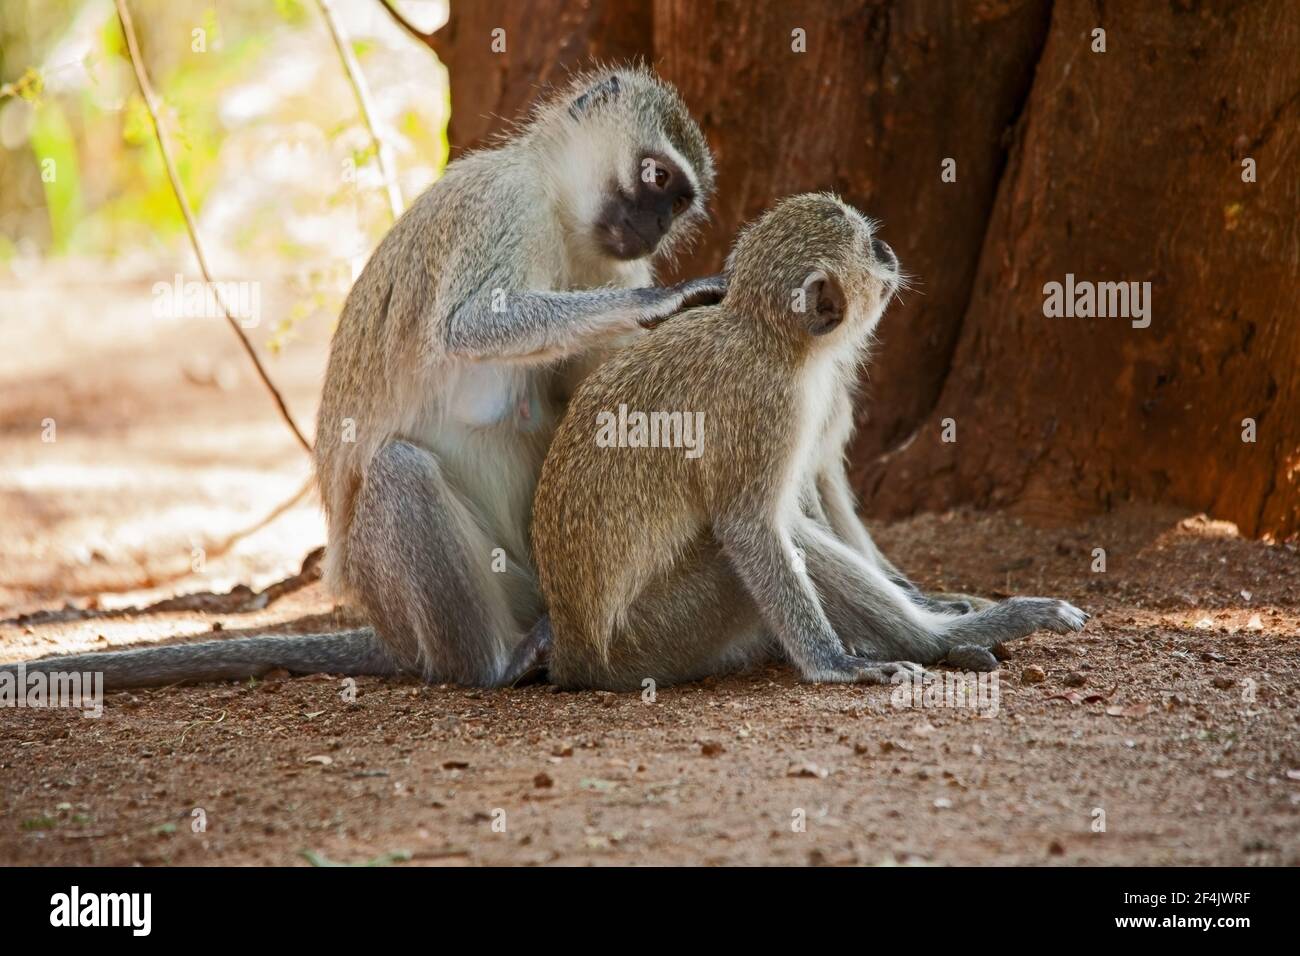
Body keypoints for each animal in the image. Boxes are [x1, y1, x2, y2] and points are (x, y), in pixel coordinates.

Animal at [1, 65, 725, 690]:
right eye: (655, 175)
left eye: (677, 201)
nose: (653, 227)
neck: (560, 216)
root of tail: (390, 631)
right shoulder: (499, 208)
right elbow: (466, 327)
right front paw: (662, 302)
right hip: (399, 589)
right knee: (402, 471)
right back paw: (495, 663)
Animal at [530, 192, 1088, 691]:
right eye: (867, 246)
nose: (888, 250)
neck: (768, 337)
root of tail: (576, 657)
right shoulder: (772, 409)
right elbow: (749, 528)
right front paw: (835, 665)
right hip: (658, 634)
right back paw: (945, 637)